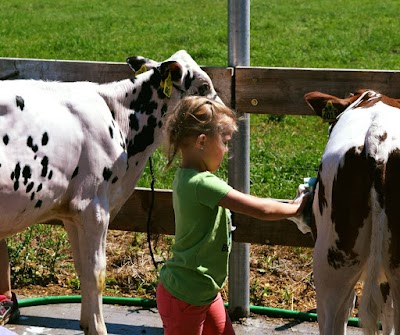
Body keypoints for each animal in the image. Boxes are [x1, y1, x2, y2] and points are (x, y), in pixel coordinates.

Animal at [0, 50, 222, 335]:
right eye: (203, 87)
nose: (228, 118)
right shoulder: (93, 206)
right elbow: (97, 272)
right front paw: (98, 328)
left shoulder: (72, 212)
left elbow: (82, 268)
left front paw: (86, 322)